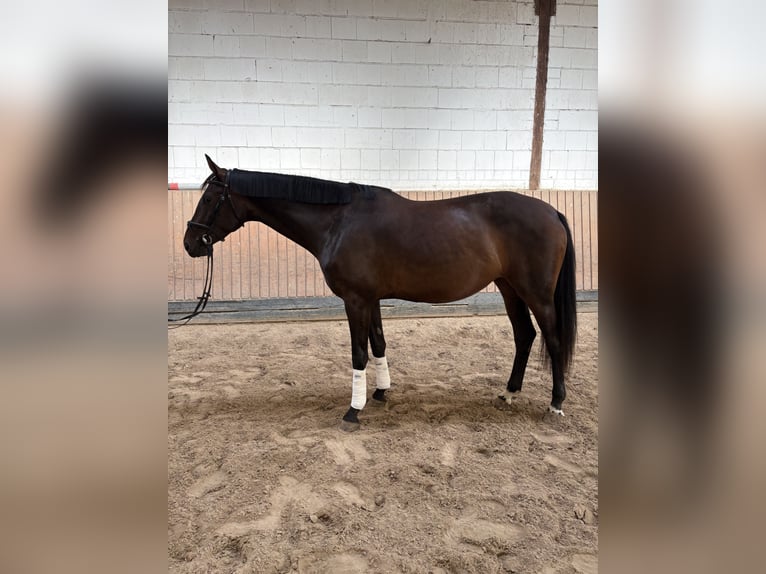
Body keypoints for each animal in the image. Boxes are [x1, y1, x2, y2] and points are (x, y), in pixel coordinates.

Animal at [184, 155, 577, 431]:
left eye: (210, 198)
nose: (190, 243)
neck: (339, 221)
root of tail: (552, 212)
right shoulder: (370, 299)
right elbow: (378, 344)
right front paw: (380, 392)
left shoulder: (355, 300)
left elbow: (359, 352)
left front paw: (352, 411)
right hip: (509, 288)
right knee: (524, 336)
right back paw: (508, 393)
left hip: (537, 294)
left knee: (553, 339)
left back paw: (555, 405)